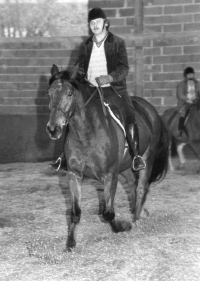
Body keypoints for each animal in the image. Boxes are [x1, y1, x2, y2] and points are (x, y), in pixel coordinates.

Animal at [46, 64, 170, 250]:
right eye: (49, 94)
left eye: (69, 94)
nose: (53, 129)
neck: (86, 133)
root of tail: (150, 109)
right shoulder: (74, 175)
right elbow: (75, 212)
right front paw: (70, 243)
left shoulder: (110, 175)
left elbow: (108, 213)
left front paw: (122, 227)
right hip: (124, 166)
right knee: (132, 184)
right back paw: (135, 211)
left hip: (147, 157)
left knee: (141, 187)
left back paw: (136, 219)